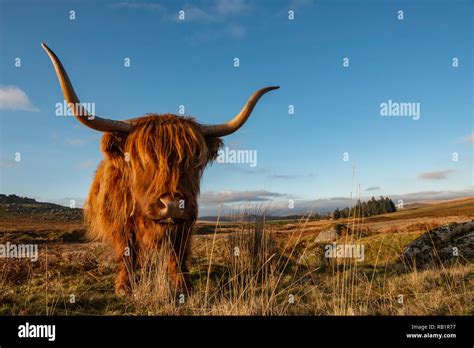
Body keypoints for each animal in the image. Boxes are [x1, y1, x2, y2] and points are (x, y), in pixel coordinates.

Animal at [41, 42, 278, 294]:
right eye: (142, 160)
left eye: (194, 160)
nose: (173, 205)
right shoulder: (120, 223)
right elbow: (128, 252)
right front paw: (124, 286)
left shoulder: (187, 222)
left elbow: (178, 254)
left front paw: (184, 286)